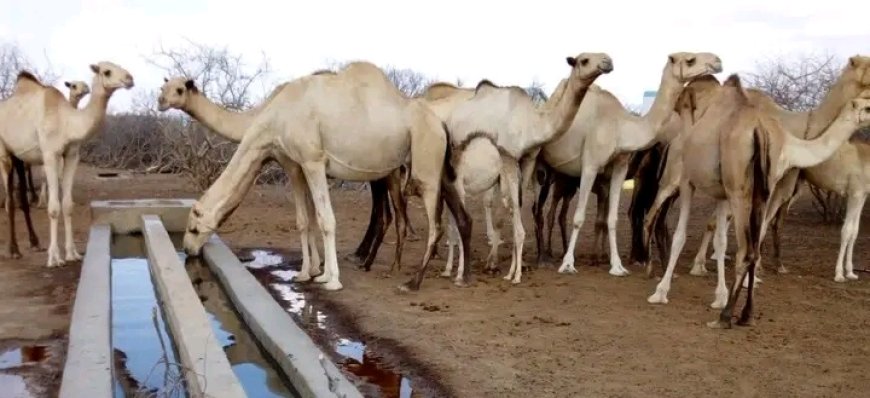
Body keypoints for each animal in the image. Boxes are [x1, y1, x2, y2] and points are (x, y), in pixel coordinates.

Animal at [0, 63, 135, 266]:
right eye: (107, 71)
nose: (129, 79)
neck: (67, 122)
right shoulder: (49, 154)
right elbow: (54, 208)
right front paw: (54, 258)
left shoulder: (71, 155)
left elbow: (67, 205)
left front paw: (72, 254)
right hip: (4, 152)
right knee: (9, 199)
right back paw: (13, 250)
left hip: (20, 156)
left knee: (21, 196)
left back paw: (33, 243)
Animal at [180, 62, 474, 292]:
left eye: (193, 228)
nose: (188, 250)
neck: (274, 118)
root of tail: (440, 123)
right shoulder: (298, 165)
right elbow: (307, 219)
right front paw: (310, 273)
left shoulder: (311, 161)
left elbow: (325, 220)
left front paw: (330, 280)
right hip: (436, 167)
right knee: (459, 216)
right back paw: (452, 275)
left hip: (425, 159)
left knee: (433, 221)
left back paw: (413, 282)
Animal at [434, 52, 612, 286]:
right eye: (584, 60)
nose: (607, 62)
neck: (532, 124)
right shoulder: (508, 156)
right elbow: (506, 210)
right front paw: (493, 263)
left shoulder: (529, 158)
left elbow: (516, 204)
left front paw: (520, 265)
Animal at [540, 52, 724, 276]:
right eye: (690, 60)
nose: (717, 61)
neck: (621, 126)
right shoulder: (591, 165)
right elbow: (579, 217)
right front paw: (568, 264)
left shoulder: (619, 168)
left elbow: (611, 219)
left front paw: (617, 266)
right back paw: (544, 257)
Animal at [644, 72, 870, 330]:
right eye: (867, 105)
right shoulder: (706, 185)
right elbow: (707, 237)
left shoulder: (717, 188)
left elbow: (710, 237)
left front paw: (672, 292)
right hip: (684, 183)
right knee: (653, 215)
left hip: (736, 188)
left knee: (744, 247)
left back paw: (728, 313)